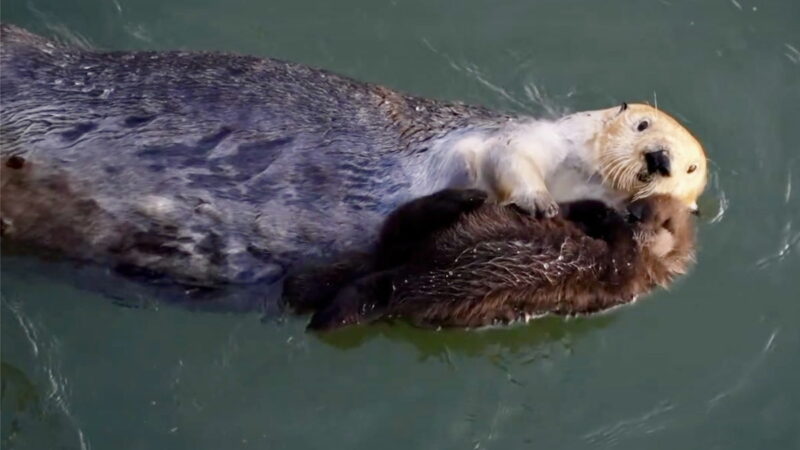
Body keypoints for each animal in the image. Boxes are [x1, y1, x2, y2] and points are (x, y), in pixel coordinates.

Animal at [0, 22, 700, 286]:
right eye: (642, 124)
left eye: (691, 167)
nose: (661, 160)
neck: (576, 176)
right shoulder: (511, 139)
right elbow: (503, 161)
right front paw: (536, 201)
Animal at [286, 188, 692, 328]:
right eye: (636, 202)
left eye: (656, 218)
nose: (631, 212)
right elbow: (573, 208)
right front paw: (597, 208)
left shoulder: (624, 279)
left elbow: (621, 256)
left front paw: (608, 218)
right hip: (411, 244)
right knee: (406, 223)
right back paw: (467, 196)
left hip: (413, 288)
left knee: (376, 289)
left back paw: (326, 312)